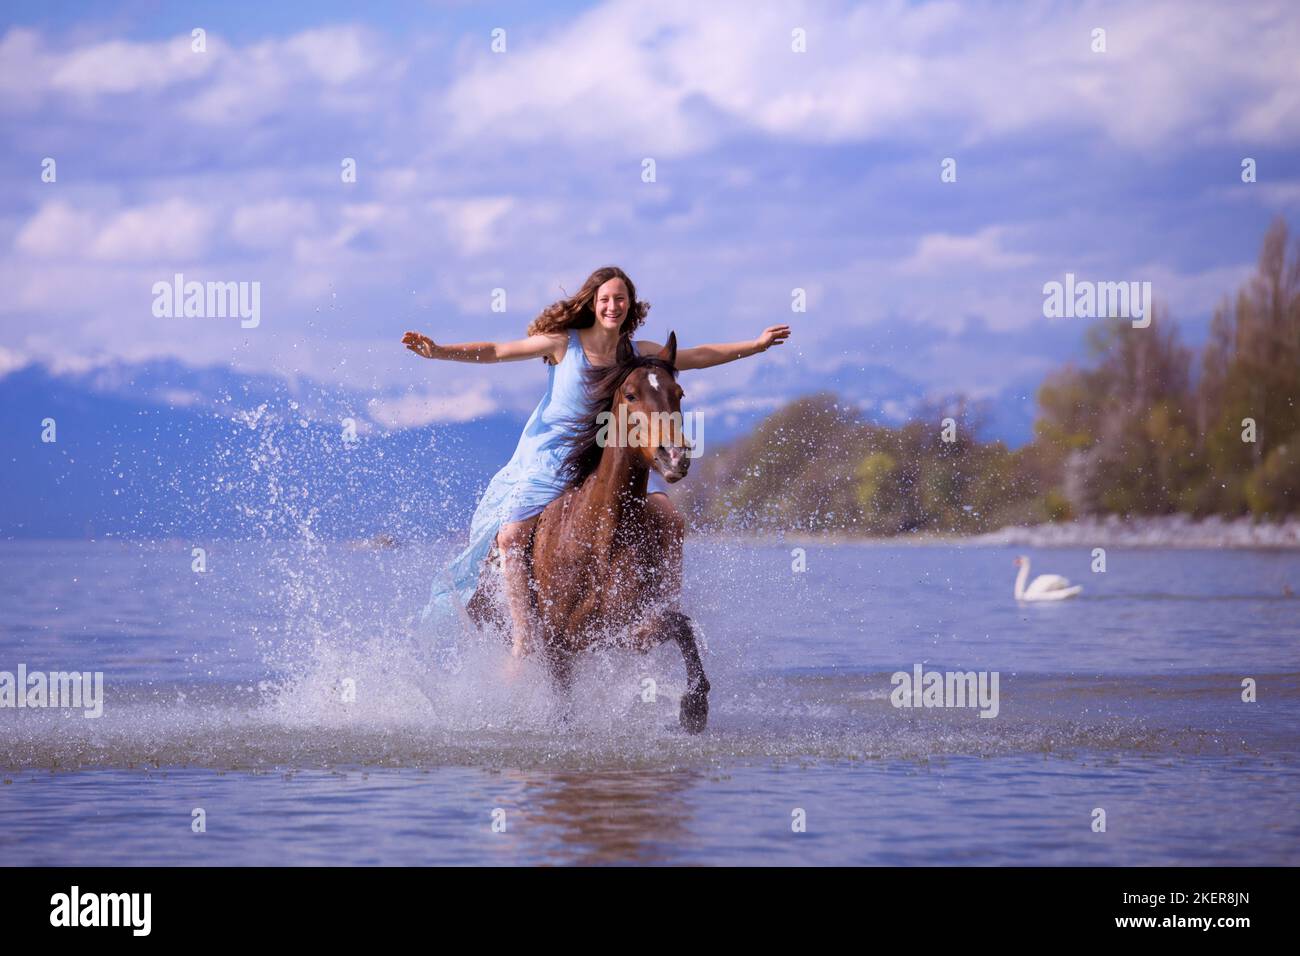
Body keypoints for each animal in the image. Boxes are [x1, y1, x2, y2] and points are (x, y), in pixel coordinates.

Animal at [467, 330, 712, 733]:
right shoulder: (558, 643)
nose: (674, 456)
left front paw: (694, 707)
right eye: (630, 394)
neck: (598, 538)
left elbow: (680, 624)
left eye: (678, 392)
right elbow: (563, 706)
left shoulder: (620, 630)